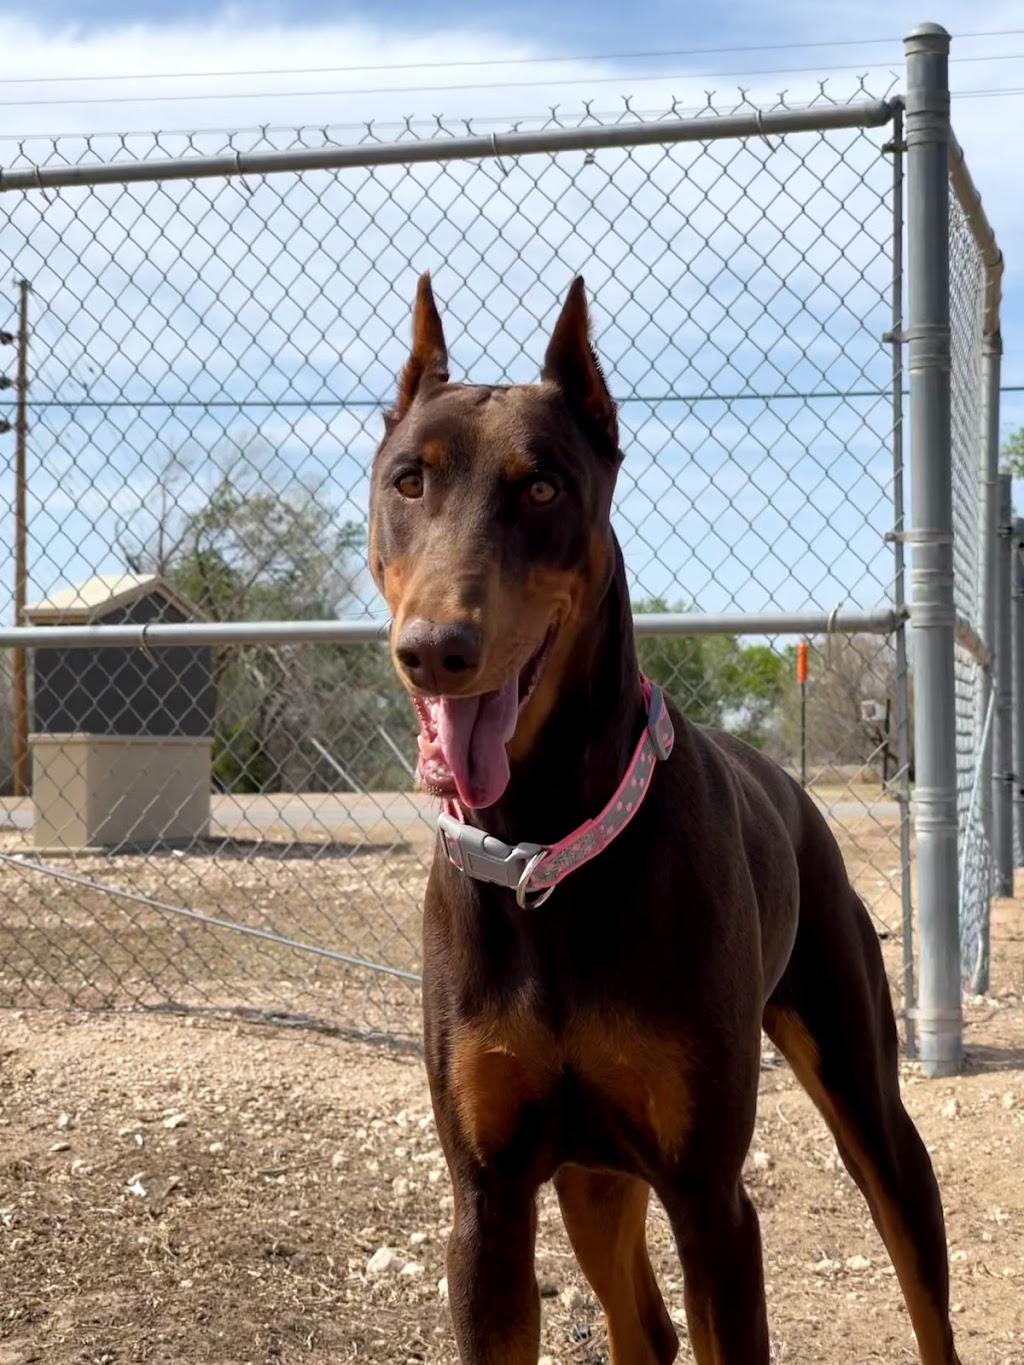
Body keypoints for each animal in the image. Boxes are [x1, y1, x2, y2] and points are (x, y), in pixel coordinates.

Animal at [365, 271, 961, 1359]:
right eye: (408, 481)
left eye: (543, 488)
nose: (436, 648)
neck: (544, 846)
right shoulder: (487, 1203)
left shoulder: (711, 1200)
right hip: (593, 1176)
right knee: (642, 1325)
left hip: (866, 1103)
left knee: (918, 1271)